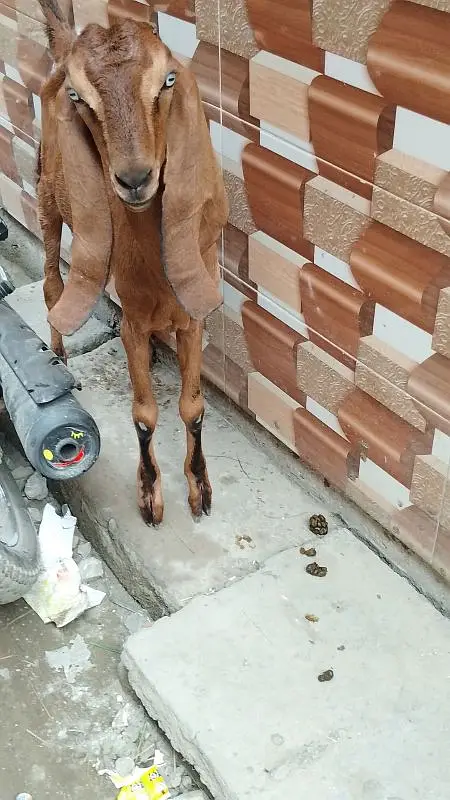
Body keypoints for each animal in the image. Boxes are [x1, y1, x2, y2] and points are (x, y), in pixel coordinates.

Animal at [36, 1, 228, 525]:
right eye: (79, 96)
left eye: (167, 80)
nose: (135, 178)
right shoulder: (133, 324)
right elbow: (144, 415)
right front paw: (149, 496)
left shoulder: (193, 319)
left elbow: (193, 407)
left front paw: (200, 491)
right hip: (47, 203)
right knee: (51, 286)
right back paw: (59, 357)